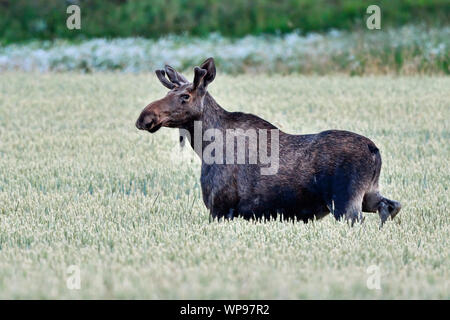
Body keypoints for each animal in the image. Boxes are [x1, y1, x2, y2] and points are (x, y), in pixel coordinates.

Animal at [134, 57, 400, 225]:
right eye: (168, 92)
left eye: (185, 96)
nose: (144, 117)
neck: (204, 146)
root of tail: (375, 150)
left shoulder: (220, 208)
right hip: (369, 193)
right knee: (392, 206)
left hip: (346, 203)